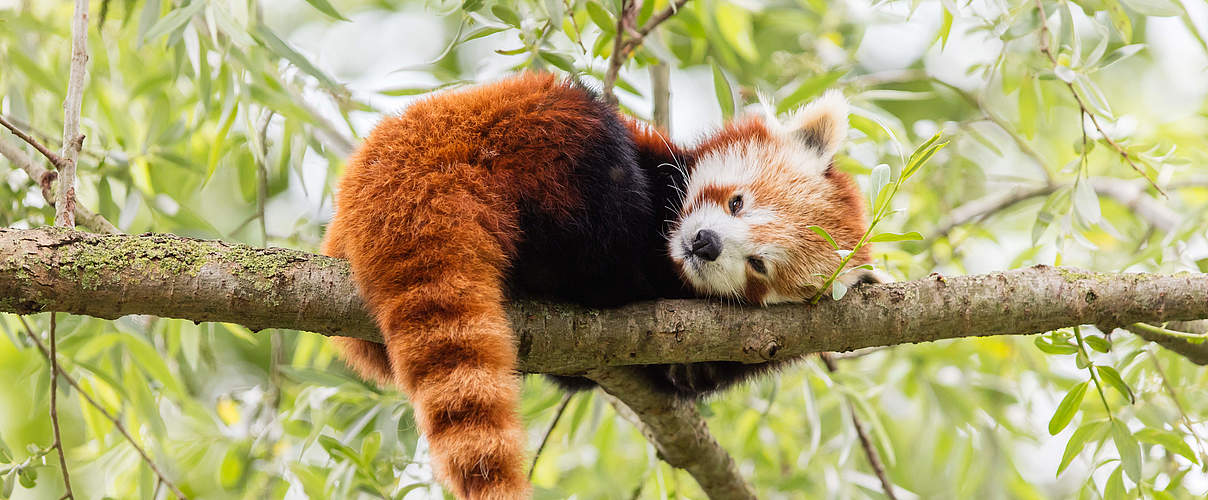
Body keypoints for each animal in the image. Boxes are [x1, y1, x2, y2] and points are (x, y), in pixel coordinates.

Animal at [321, 72, 879, 497]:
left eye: (759, 266)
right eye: (737, 202)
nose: (705, 244)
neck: (666, 259)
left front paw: (695, 371)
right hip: (531, 129)